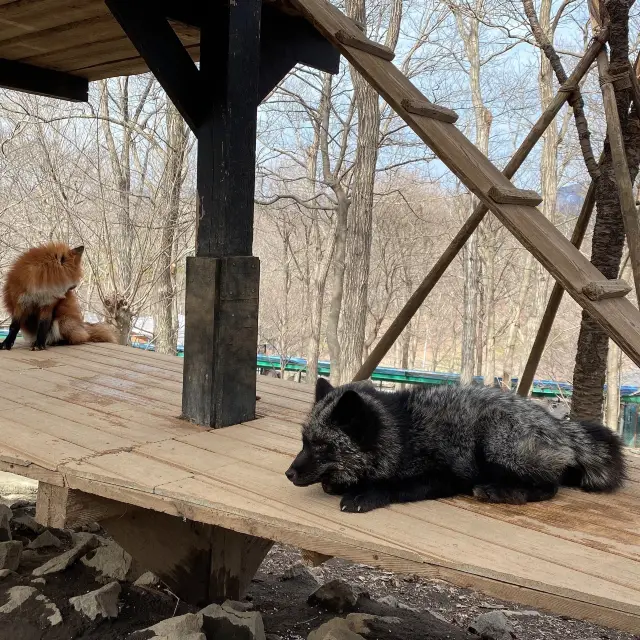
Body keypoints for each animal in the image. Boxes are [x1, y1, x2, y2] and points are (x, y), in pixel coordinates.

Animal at [288, 378, 628, 512]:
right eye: (304, 442)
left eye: (322, 446)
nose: (289, 474)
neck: (403, 434)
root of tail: (559, 424)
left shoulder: (447, 475)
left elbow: (395, 486)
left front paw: (366, 493)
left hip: (495, 440)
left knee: (550, 486)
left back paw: (500, 491)